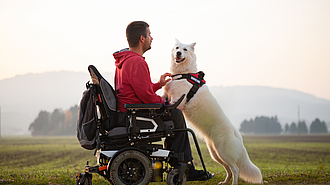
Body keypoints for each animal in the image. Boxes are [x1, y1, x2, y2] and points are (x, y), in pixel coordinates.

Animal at [162, 38, 262, 184]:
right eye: (176, 48)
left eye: (185, 49)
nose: (178, 53)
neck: (184, 73)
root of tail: (237, 133)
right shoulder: (166, 95)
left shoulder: (177, 101)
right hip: (216, 154)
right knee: (229, 170)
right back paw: (224, 182)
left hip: (223, 152)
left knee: (236, 169)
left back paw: (233, 183)